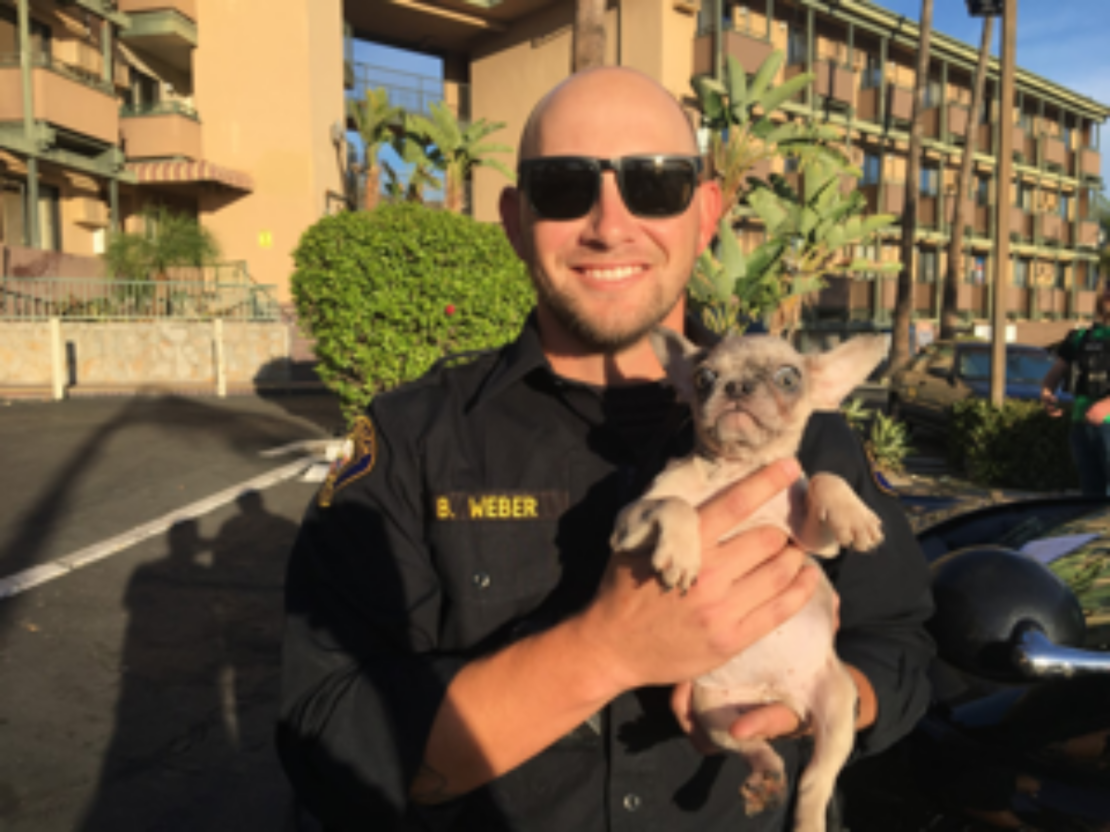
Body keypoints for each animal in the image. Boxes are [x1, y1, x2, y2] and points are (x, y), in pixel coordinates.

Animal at [612, 328, 888, 832]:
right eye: (703, 378)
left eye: (789, 377)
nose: (736, 386)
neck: (736, 469)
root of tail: (775, 695)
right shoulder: (627, 526)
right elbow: (673, 504)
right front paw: (682, 550)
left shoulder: (812, 541)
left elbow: (825, 477)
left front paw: (854, 515)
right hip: (712, 707)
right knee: (752, 748)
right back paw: (764, 776)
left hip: (840, 703)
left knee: (815, 781)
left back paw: (805, 818)